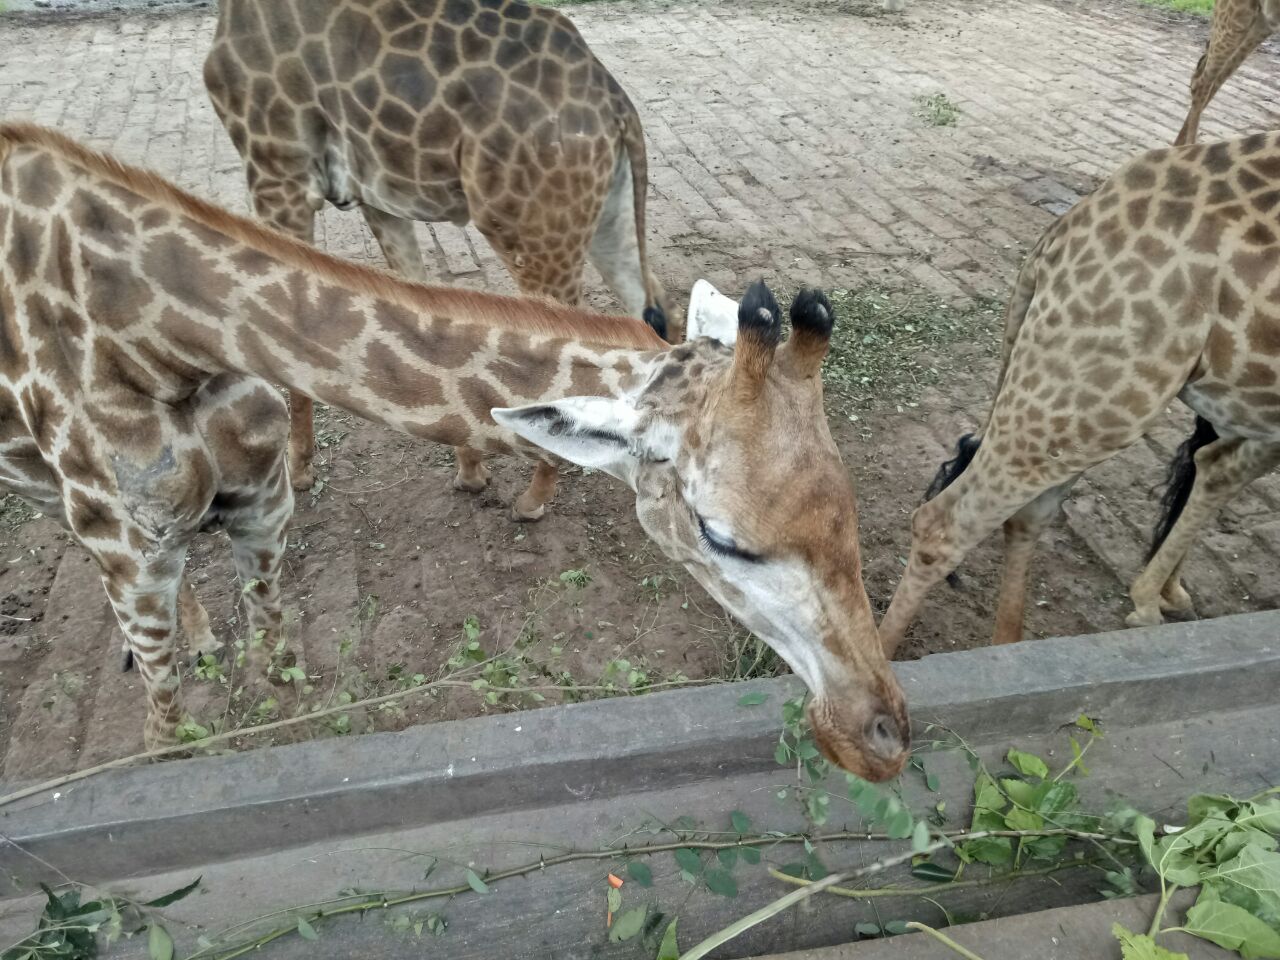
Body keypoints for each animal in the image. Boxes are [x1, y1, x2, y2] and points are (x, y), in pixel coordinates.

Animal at [0, 120, 911, 783]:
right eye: (722, 535)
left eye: (848, 507)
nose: (882, 737)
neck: (165, 336)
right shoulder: (130, 543)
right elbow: (165, 727)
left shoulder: (261, 509)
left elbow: (277, 659)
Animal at [202, 0, 670, 527]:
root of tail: (615, 104)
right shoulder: (376, 195)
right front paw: (470, 471)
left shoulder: (276, 170)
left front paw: (298, 469)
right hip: (606, 215)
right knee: (656, 314)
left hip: (533, 232)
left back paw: (533, 501)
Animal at [880, 131, 1280, 660]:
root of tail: (1062, 232)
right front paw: (1154, 601)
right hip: (1097, 387)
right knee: (945, 522)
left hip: (1081, 393)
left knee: (1030, 513)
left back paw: (1012, 649)